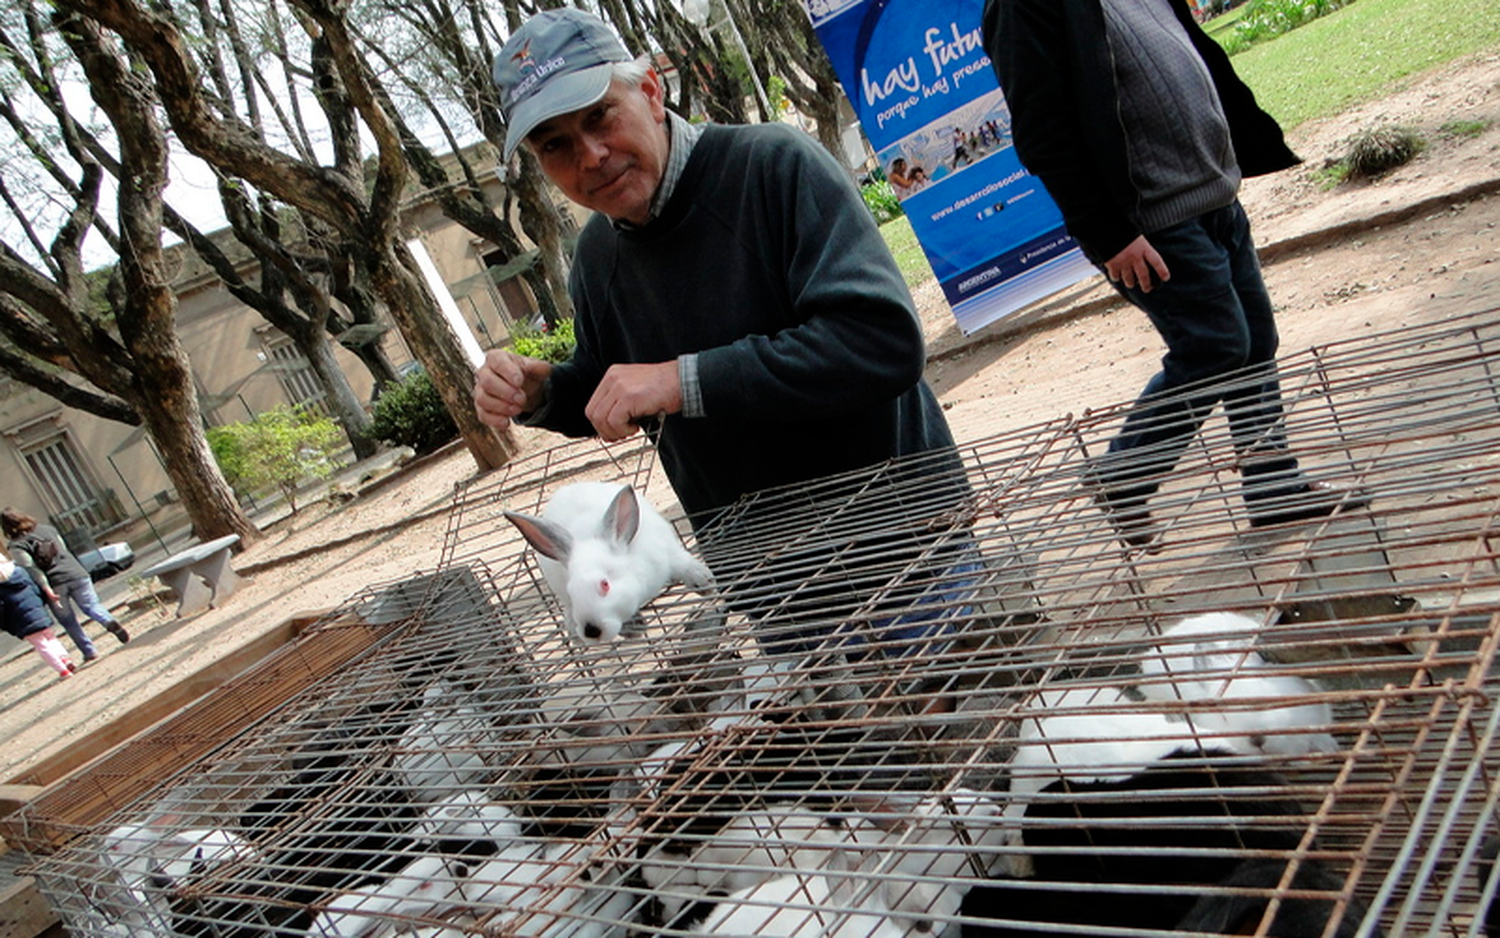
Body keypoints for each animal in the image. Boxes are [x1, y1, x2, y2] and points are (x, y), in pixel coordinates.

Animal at [504, 483, 714, 642]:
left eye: (605, 584)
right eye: (572, 593)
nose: (591, 631)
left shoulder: (667, 551)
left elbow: (682, 563)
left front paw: (703, 581)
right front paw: (634, 629)